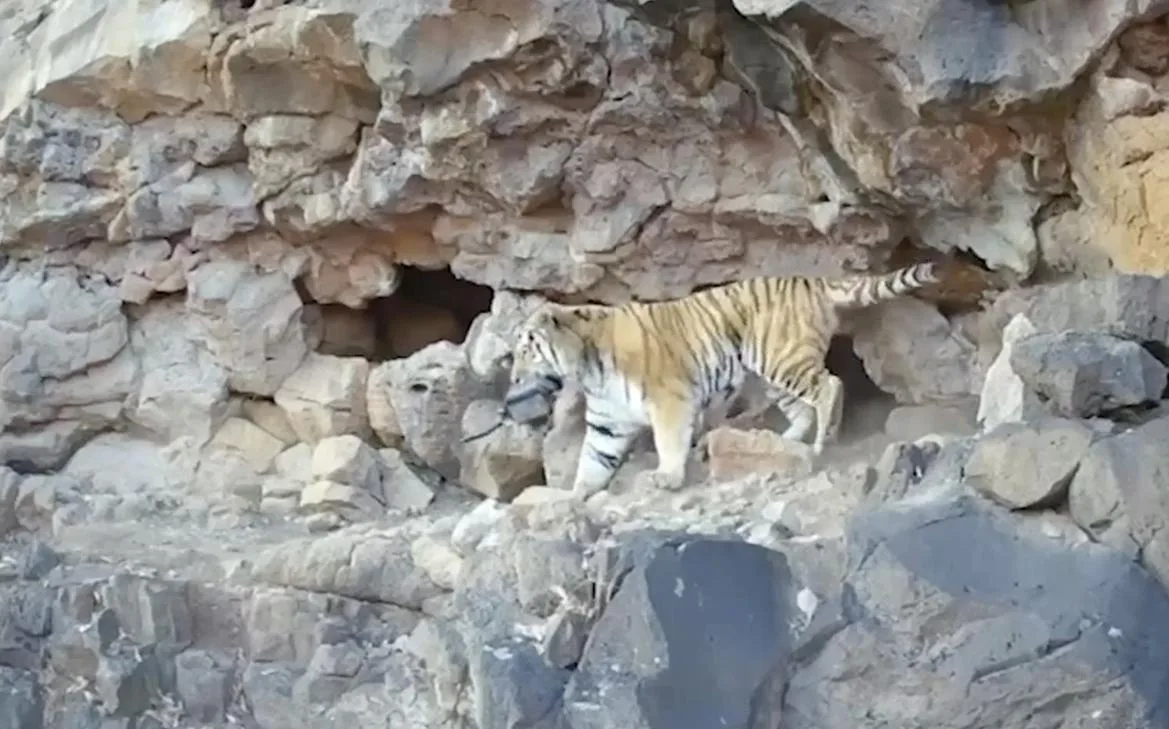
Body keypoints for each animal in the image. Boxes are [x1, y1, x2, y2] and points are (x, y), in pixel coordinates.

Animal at [502, 261, 946, 499]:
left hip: (780, 359)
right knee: (802, 407)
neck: (586, 368)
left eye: (527, 350)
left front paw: (667, 477)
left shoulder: (669, 400)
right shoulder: (608, 422)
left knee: (829, 386)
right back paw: (786, 442)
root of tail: (812, 280)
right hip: (770, 373)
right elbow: (592, 460)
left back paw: (824, 440)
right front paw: (575, 495)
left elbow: (668, 441)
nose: (515, 377)